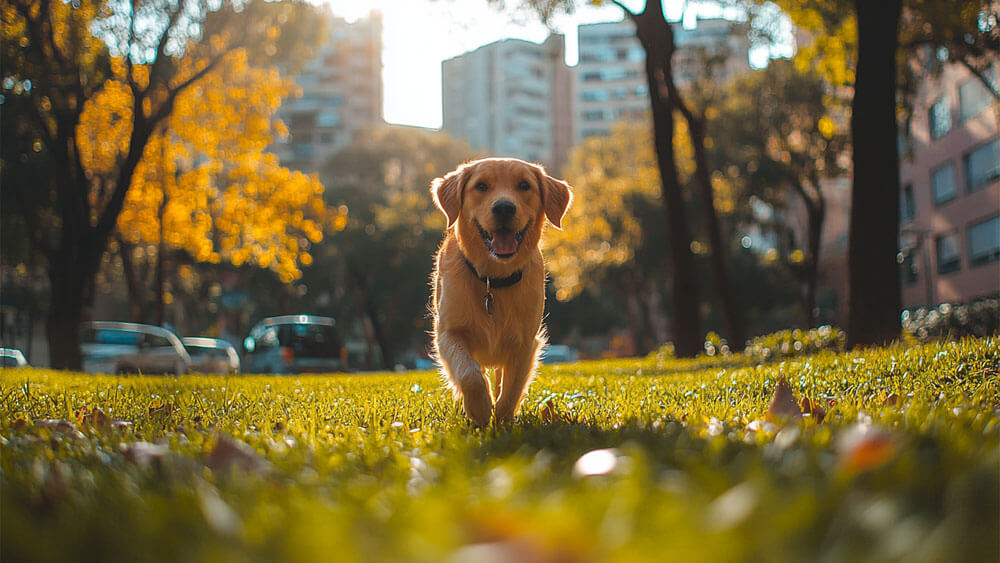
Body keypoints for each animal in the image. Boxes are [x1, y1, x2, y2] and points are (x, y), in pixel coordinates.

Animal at [428, 156, 572, 426]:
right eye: (481, 186)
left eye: (524, 185)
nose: (504, 208)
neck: (492, 280)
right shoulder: (448, 333)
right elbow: (470, 374)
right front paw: (480, 411)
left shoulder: (525, 343)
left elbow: (511, 388)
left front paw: (502, 420)